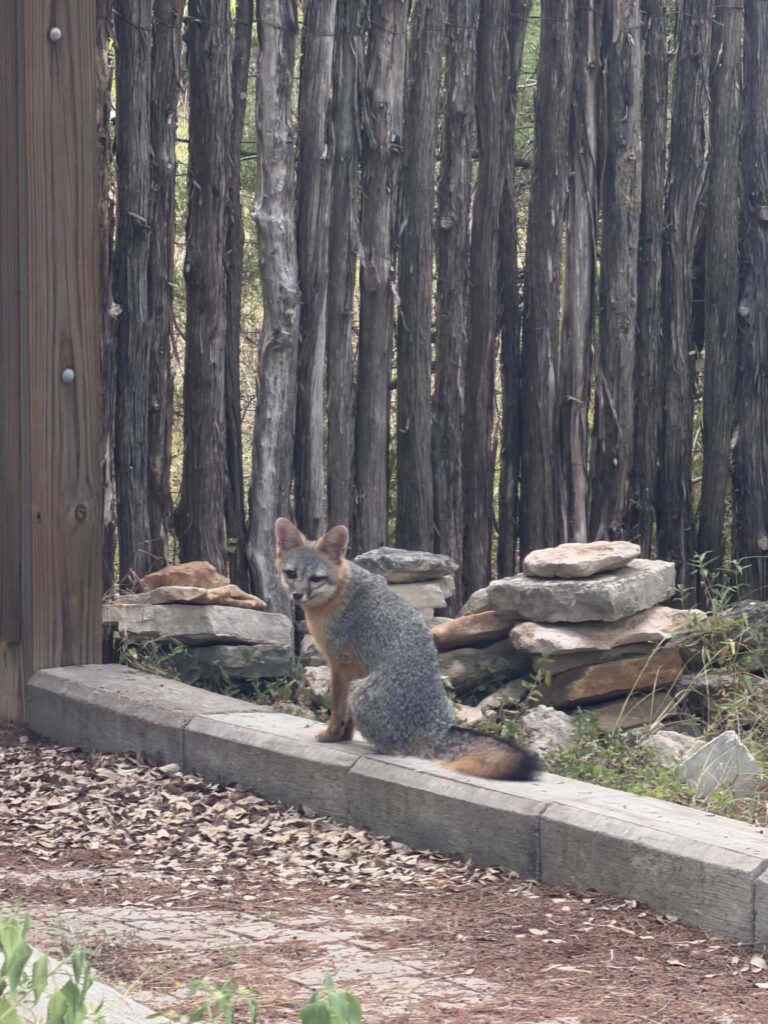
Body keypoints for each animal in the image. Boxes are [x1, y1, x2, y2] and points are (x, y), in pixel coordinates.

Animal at [274, 518, 539, 781]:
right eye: (291, 574)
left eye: (316, 578)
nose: (297, 594)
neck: (340, 591)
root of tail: (435, 729)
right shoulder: (353, 667)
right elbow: (346, 717)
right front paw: (344, 736)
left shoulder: (340, 665)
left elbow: (338, 710)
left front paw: (331, 735)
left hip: (359, 691)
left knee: (395, 748)